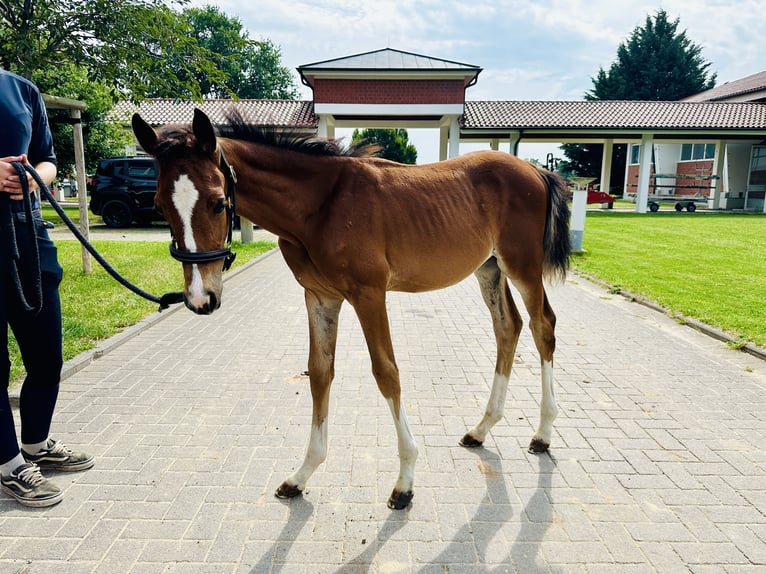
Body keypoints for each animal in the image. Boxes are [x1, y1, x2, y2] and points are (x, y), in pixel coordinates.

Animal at [135, 110, 572, 510]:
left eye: (218, 203)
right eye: (158, 205)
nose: (200, 298)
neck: (320, 205)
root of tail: (535, 170)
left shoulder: (369, 294)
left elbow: (387, 373)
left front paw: (405, 481)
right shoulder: (319, 296)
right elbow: (319, 372)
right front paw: (301, 475)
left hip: (523, 267)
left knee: (543, 325)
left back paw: (543, 433)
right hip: (489, 268)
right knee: (508, 326)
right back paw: (481, 429)